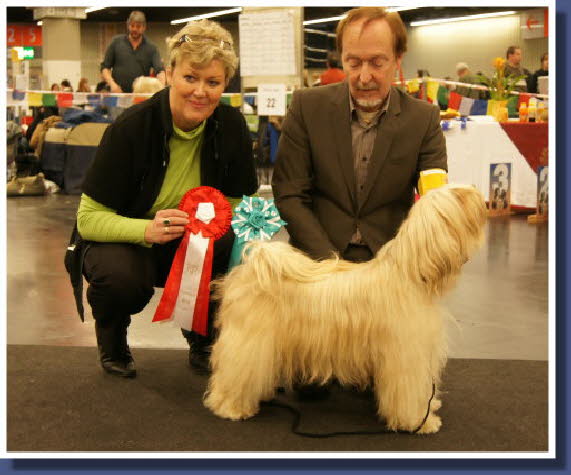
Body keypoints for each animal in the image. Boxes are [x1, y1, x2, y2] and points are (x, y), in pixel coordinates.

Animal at [206, 186, 488, 436]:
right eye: (460, 196)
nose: (481, 197)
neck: (408, 272)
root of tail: (251, 270)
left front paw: (430, 408)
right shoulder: (406, 355)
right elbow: (409, 392)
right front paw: (419, 421)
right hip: (250, 342)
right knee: (234, 374)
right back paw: (229, 407)